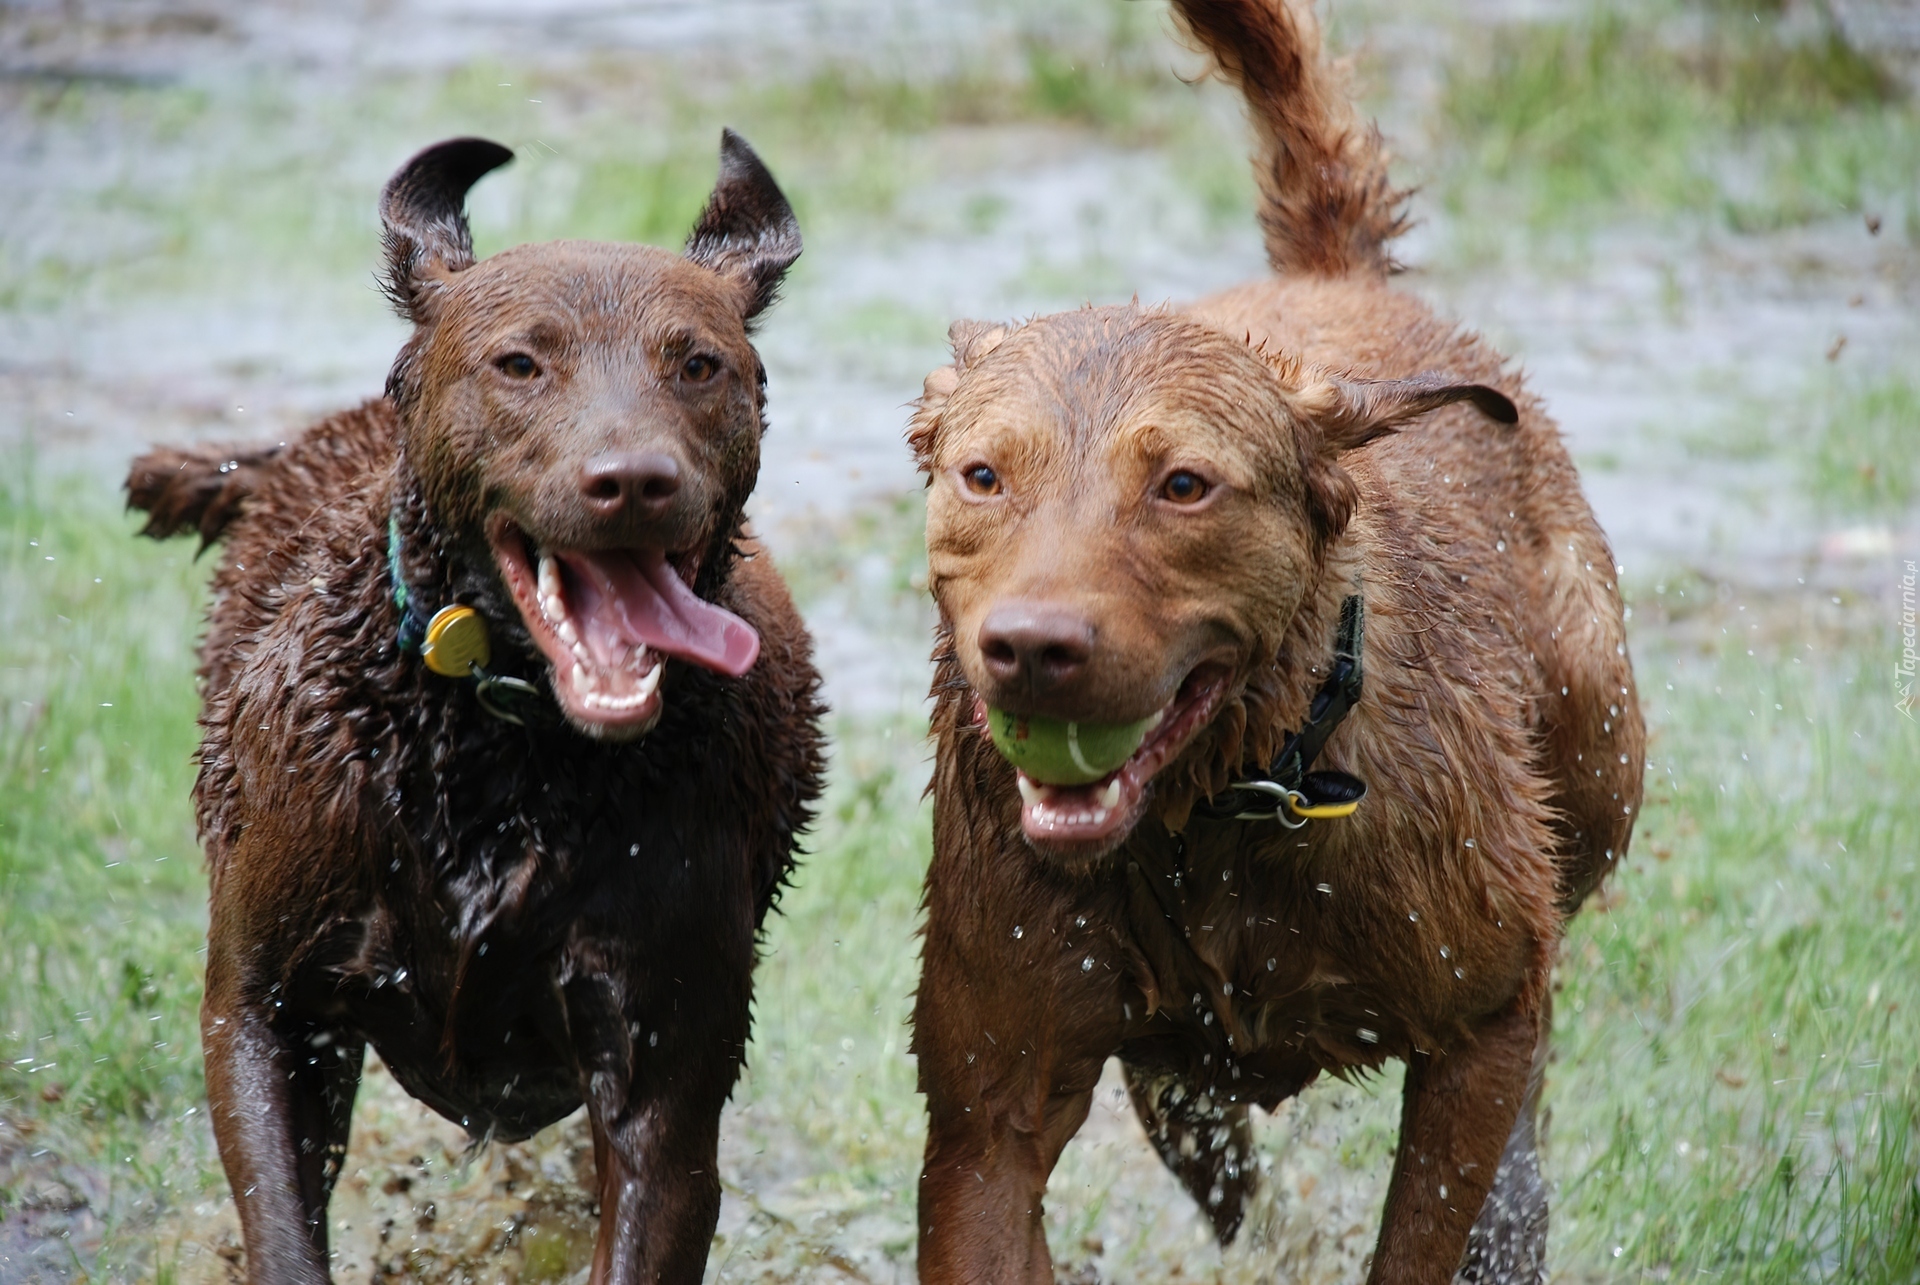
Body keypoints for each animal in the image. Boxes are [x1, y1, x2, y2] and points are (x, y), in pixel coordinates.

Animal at [127, 132, 817, 1283]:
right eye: (520, 363)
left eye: (697, 363)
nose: (635, 479)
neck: (508, 751)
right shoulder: (266, 1010)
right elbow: (281, 1216)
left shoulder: (663, 1071)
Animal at [906, 2, 1643, 1283]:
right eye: (982, 475)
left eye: (1185, 485)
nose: (1032, 647)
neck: (1212, 813)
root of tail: (1332, 275)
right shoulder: (985, 1111)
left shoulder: (1477, 1015)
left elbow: (1453, 1183)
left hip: (1596, 747)